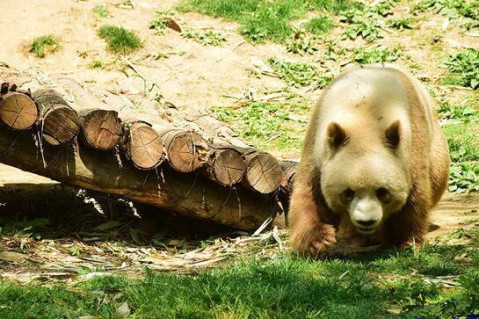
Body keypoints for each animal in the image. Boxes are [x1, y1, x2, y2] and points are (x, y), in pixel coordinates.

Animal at [288, 63, 450, 258]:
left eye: (383, 192)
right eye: (348, 193)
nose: (366, 222)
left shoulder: (411, 143)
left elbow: (415, 195)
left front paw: (405, 241)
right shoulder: (317, 143)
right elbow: (309, 193)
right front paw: (319, 241)